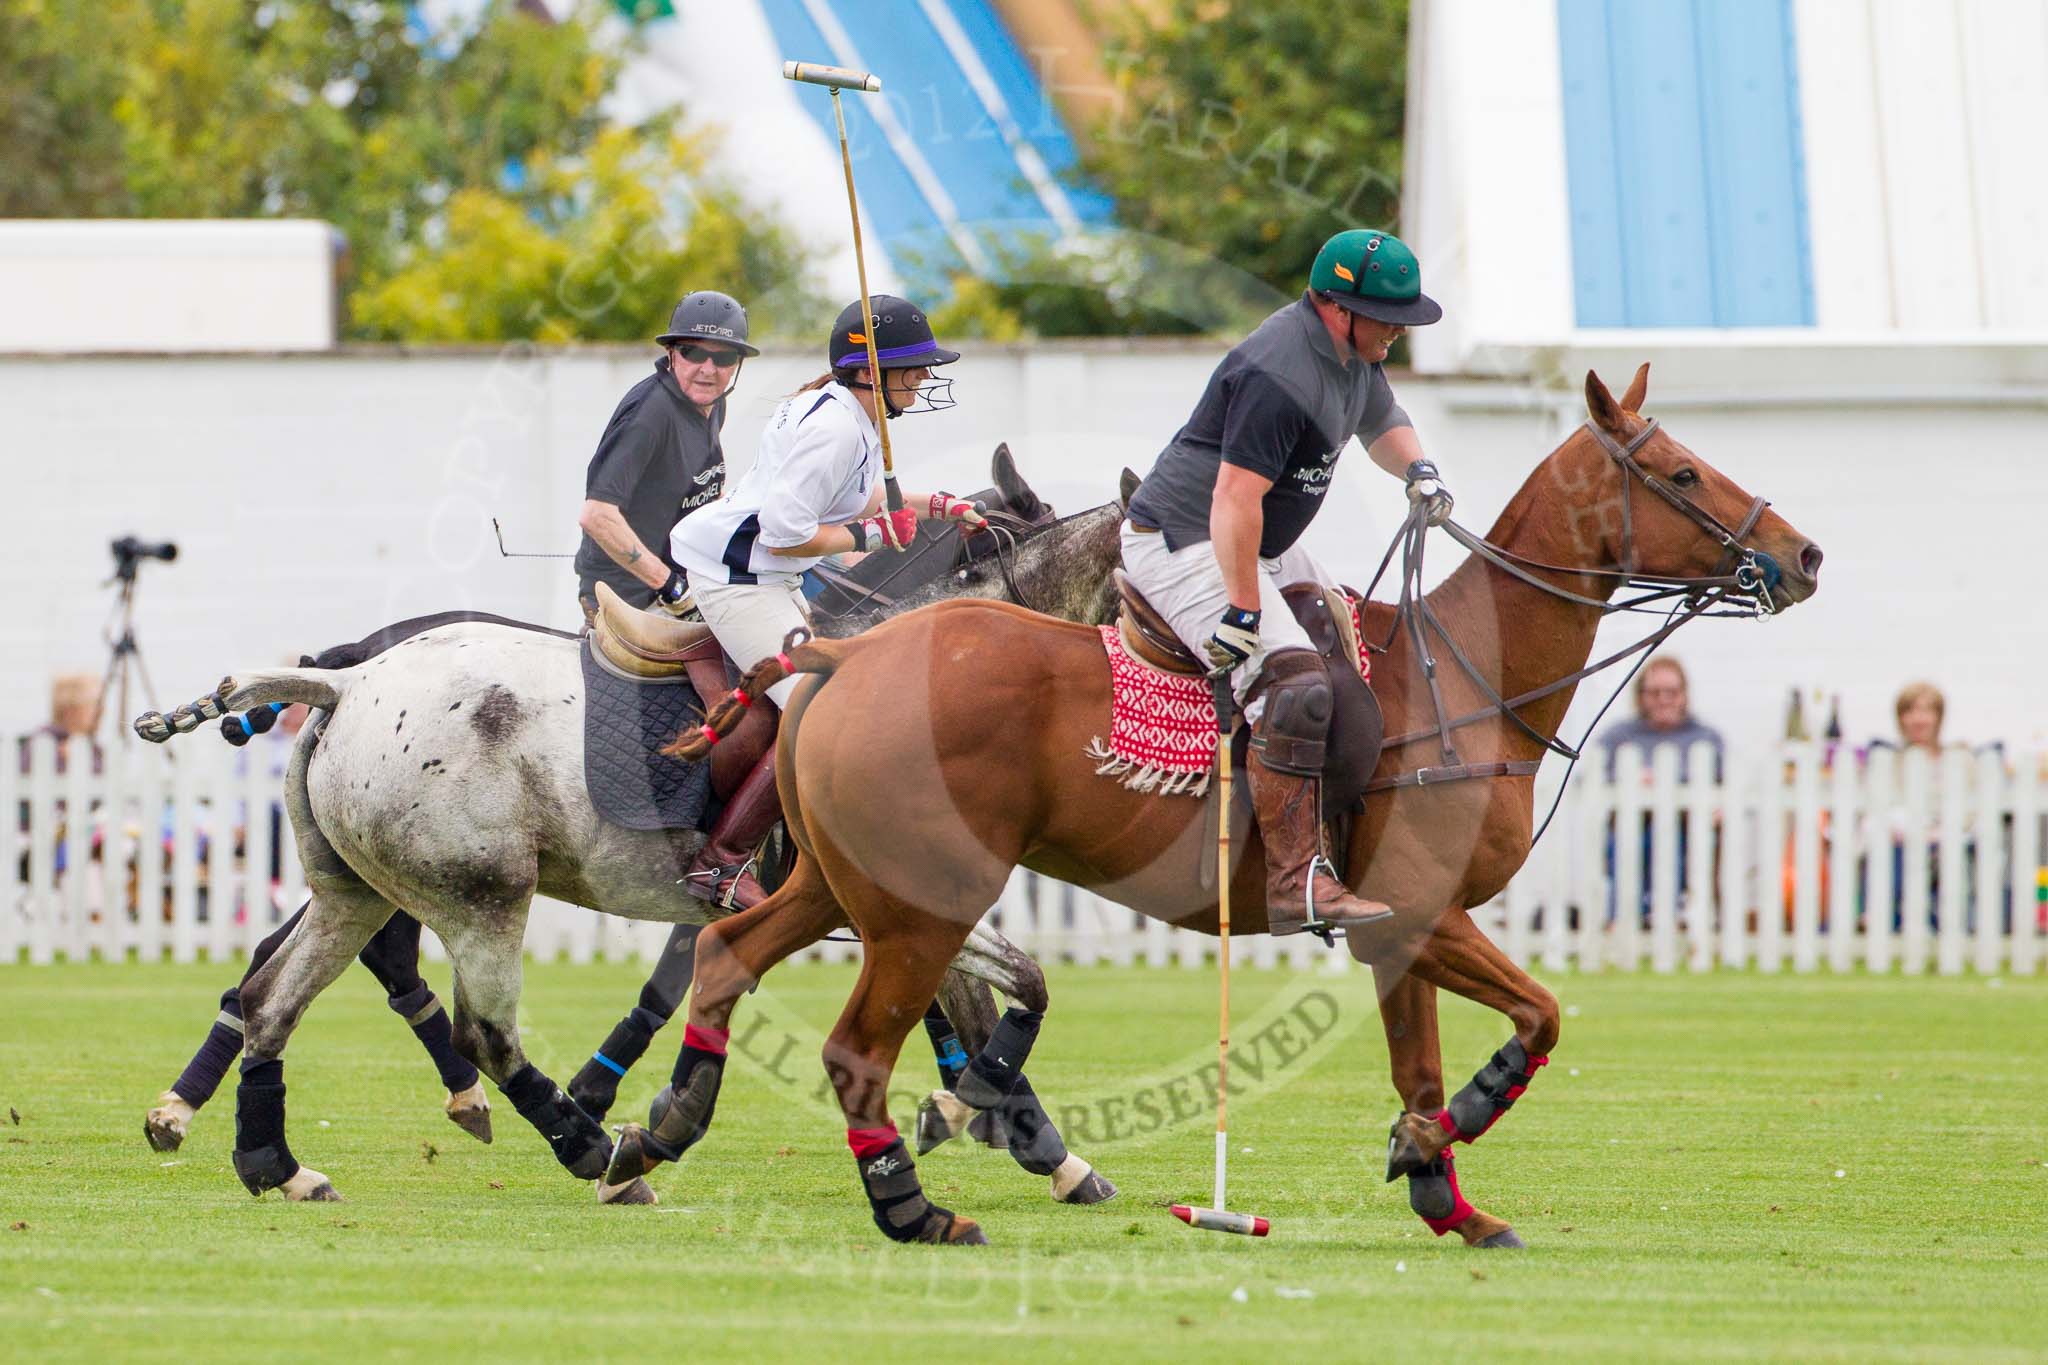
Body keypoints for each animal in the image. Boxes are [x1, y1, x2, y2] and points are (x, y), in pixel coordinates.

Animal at [140, 464, 1138, 1203]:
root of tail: (346, 680)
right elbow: (996, 998)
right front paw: (1027, 1140)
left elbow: (1003, 993)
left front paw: (1025, 1140)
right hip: (480, 894)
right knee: (481, 1032)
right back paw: (590, 1150)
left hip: (352, 887)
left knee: (275, 997)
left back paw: (274, 1162)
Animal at [643, 366, 1826, 1252]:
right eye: (1681, 471)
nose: (1805, 554)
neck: (1466, 679)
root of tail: (841, 654)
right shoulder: (1418, 910)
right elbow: (1537, 1016)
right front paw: (1440, 1140)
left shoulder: (1396, 930)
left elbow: (1420, 1061)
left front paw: (1446, 1196)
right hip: (922, 906)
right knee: (856, 1049)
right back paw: (914, 1205)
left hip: (839, 885)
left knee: (730, 957)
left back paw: (651, 1136)